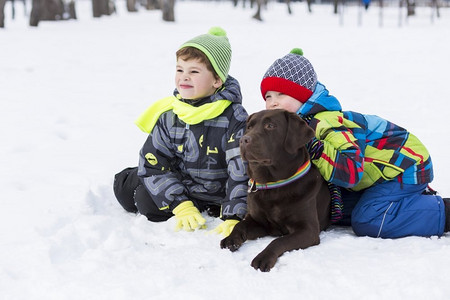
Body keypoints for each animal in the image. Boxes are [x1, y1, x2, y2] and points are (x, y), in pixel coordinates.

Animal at [221, 109, 330, 272]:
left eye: (270, 125)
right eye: (249, 127)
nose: (243, 140)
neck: (273, 186)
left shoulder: (308, 229)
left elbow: (279, 241)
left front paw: (263, 258)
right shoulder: (259, 222)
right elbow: (239, 225)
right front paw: (230, 239)